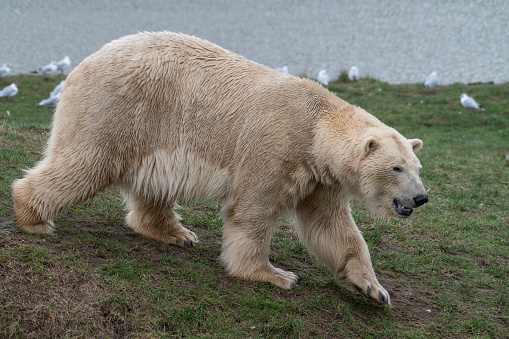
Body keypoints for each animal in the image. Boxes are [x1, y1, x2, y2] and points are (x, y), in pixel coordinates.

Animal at [10, 31, 428, 306]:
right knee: (84, 163)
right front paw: (275, 275)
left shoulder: (319, 177)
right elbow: (253, 211)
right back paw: (33, 217)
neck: (316, 125)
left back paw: (177, 233)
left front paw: (374, 288)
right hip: (116, 110)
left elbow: (330, 227)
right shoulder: (275, 149)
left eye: (417, 166)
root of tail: (83, 63)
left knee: (151, 186)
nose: (420, 198)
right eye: (396, 168)